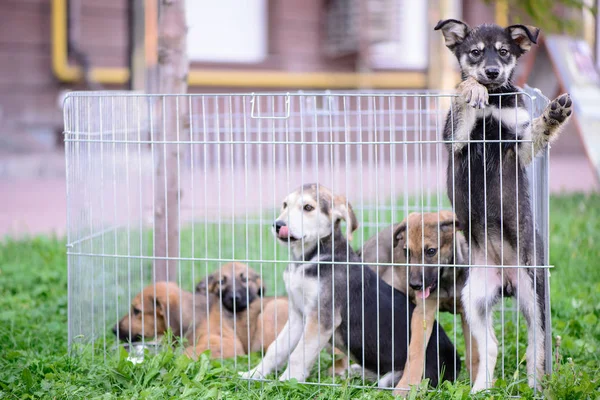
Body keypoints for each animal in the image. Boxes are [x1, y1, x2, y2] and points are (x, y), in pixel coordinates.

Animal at [356, 212, 478, 394]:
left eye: (431, 251)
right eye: (407, 252)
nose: (414, 285)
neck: (446, 280)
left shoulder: (466, 313)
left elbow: (474, 355)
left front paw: (479, 384)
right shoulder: (423, 313)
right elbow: (415, 353)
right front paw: (405, 388)